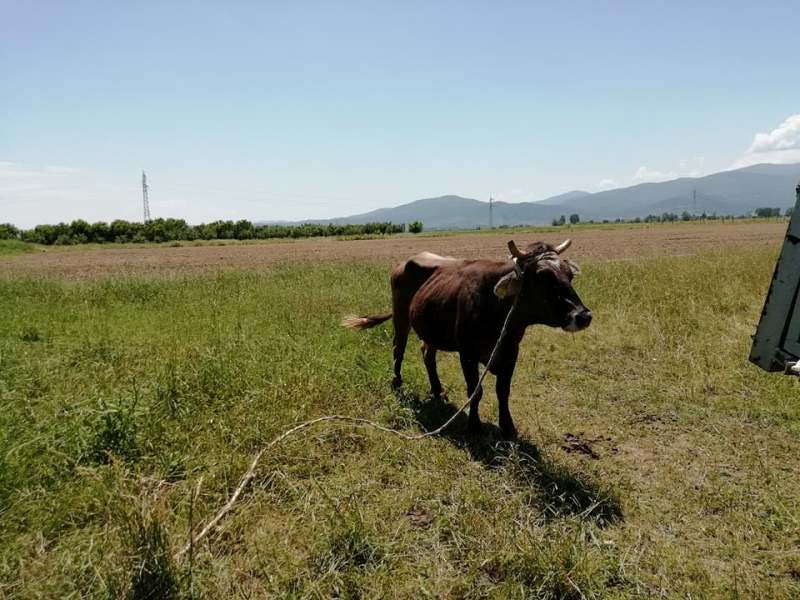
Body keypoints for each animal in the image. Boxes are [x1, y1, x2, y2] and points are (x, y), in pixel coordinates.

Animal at [340, 238, 592, 436]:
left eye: (569, 275)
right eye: (543, 277)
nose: (583, 316)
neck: (497, 308)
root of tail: (405, 262)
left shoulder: (511, 350)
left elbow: (503, 391)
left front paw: (507, 427)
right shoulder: (467, 353)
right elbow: (475, 391)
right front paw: (473, 425)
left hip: (430, 327)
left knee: (427, 354)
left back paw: (437, 389)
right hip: (401, 317)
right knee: (398, 349)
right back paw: (397, 383)